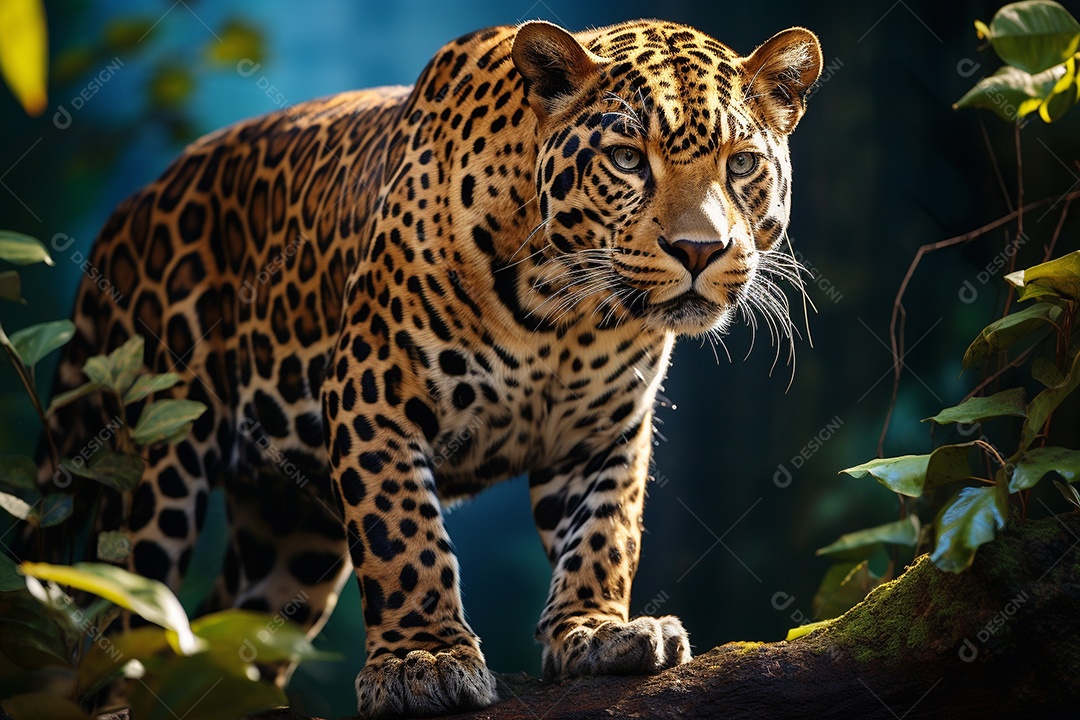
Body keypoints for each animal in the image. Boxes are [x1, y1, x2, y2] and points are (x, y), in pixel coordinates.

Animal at [45, 18, 822, 719]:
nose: (699, 249)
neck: (566, 311)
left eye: (742, 164)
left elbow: (605, 532)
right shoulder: (371, 393)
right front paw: (422, 659)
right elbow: (402, 534)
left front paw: (598, 631)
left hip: (287, 536)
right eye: (629, 159)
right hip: (152, 467)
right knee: (111, 624)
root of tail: (122, 220)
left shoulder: (605, 432)